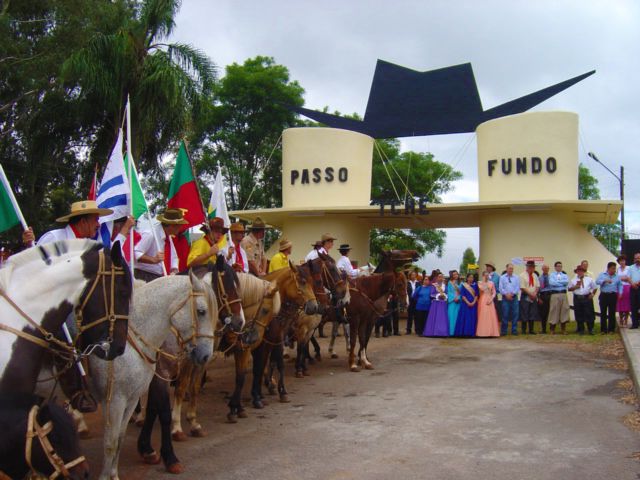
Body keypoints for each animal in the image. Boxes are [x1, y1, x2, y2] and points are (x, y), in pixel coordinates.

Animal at [87, 272, 218, 478]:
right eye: (202, 311)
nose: (206, 355)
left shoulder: (133, 395)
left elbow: (122, 436)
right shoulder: (116, 399)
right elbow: (114, 440)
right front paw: (169, 456)